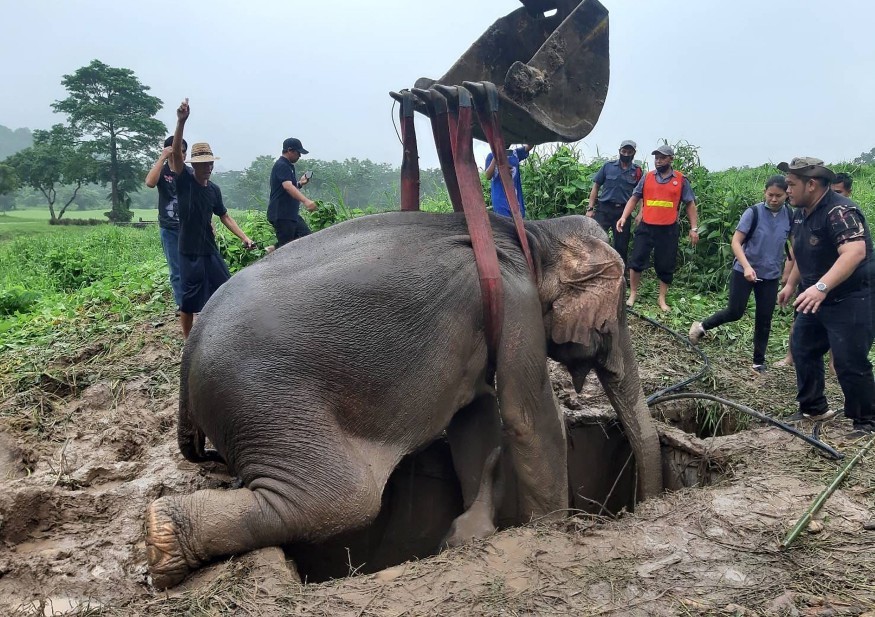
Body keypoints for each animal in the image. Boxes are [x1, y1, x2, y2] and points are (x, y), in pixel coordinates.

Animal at [145, 212, 664, 588]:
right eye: (615, 317)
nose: (644, 506)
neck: (532, 234)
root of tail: (188, 353)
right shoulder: (517, 302)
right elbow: (527, 418)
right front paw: (550, 530)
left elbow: (475, 414)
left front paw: (479, 524)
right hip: (264, 399)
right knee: (343, 499)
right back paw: (162, 537)